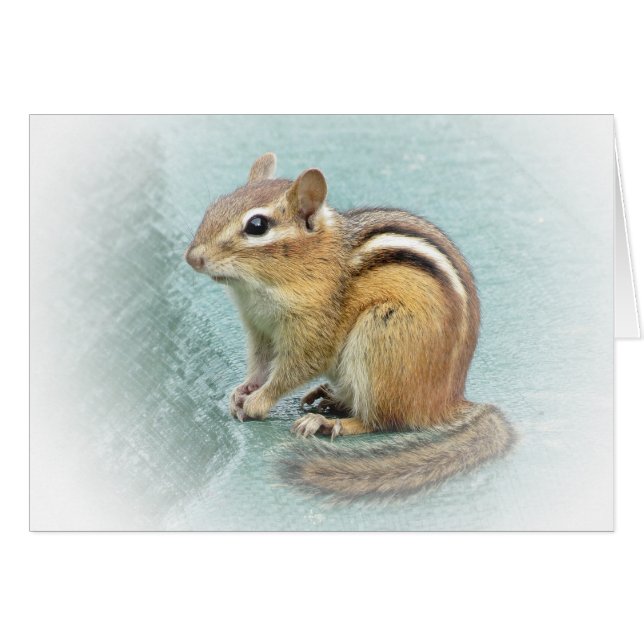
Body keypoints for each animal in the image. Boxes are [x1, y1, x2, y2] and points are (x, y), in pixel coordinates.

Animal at [185, 153, 515, 501]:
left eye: (257, 226)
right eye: (216, 205)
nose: (192, 258)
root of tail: (447, 402)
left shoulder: (314, 330)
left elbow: (295, 369)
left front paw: (258, 402)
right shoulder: (259, 329)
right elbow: (261, 365)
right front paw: (243, 390)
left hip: (380, 334)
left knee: (383, 422)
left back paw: (330, 423)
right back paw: (331, 399)